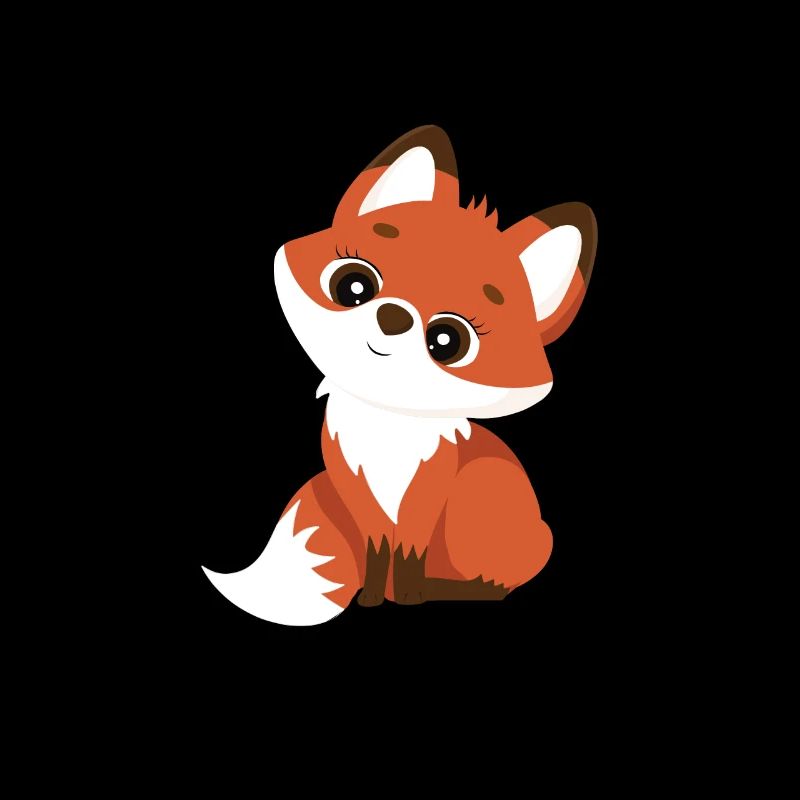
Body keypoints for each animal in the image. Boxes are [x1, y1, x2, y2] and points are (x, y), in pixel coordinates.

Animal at [202, 125, 597, 626]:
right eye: (353, 286)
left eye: (448, 340)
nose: (393, 317)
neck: (387, 427)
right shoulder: (356, 490)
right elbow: (377, 554)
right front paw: (374, 596)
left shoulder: (424, 496)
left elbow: (409, 554)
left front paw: (407, 596)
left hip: (476, 495)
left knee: (497, 587)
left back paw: (451, 590)